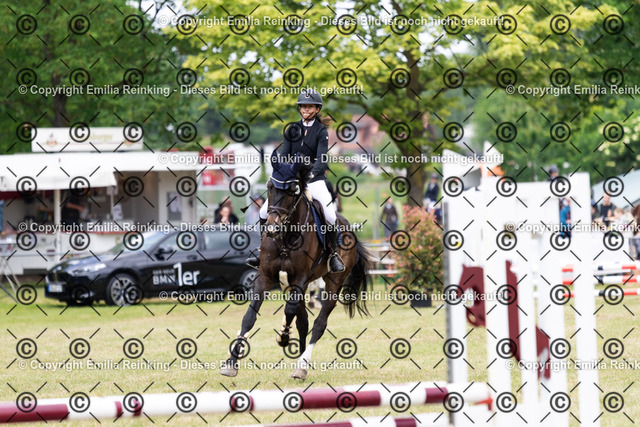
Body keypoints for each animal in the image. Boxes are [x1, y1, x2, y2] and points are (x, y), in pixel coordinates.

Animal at [220, 156, 371, 380]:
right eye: (269, 187)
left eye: (293, 190)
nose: (272, 228)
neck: (286, 237)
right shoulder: (265, 277)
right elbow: (249, 317)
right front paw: (231, 363)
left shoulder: (300, 278)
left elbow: (290, 311)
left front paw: (283, 336)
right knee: (303, 321)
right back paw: (299, 357)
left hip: (333, 283)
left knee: (319, 324)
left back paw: (302, 365)